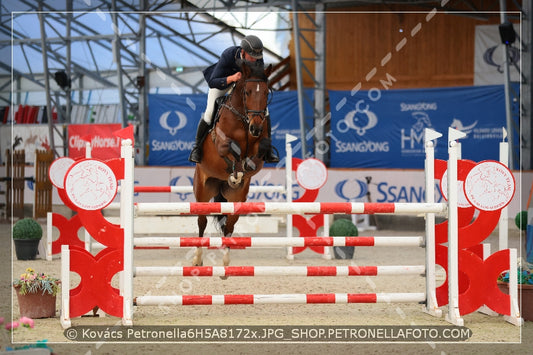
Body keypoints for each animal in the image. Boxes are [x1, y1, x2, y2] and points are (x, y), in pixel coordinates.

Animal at [191, 61, 272, 272]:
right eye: (247, 92)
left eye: (267, 92)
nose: (256, 128)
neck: (244, 120)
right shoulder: (221, 143)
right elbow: (230, 147)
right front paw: (236, 170)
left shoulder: (260, 145)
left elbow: (259, 150)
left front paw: (241, 171)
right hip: (202, 191)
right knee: (201, 222)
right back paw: (197, 259)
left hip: (237, 198)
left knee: (229, 226)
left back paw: (226, 264)